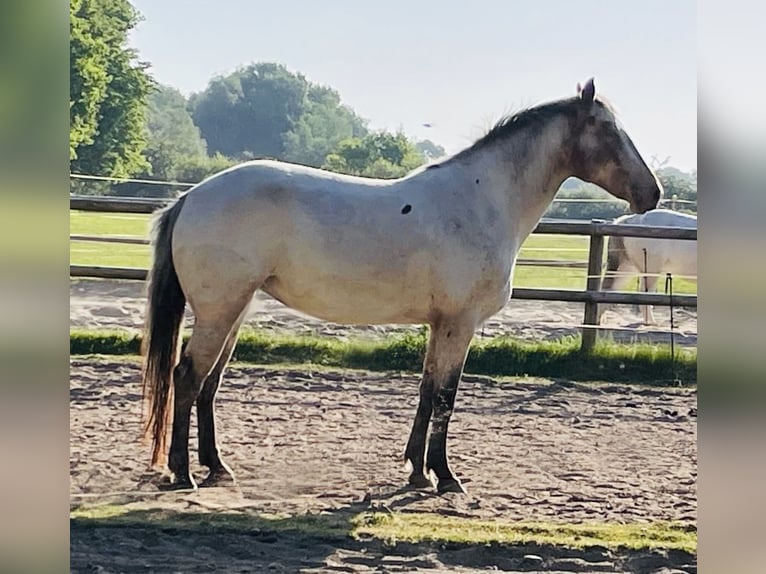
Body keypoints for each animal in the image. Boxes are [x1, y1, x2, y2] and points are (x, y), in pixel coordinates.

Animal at [141, 78, 662, 494]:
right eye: (609, 130)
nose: (652, 192)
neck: (480, 201)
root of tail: (191, 197)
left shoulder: (439, 325)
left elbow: (427, 391)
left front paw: (417, 472)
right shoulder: (459, 324)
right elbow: (446, 396)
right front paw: (446, 478)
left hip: (236, 309)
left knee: (209, 383)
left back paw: (217, 468)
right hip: (220, 310)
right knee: (187, 377)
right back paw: (183, 473)